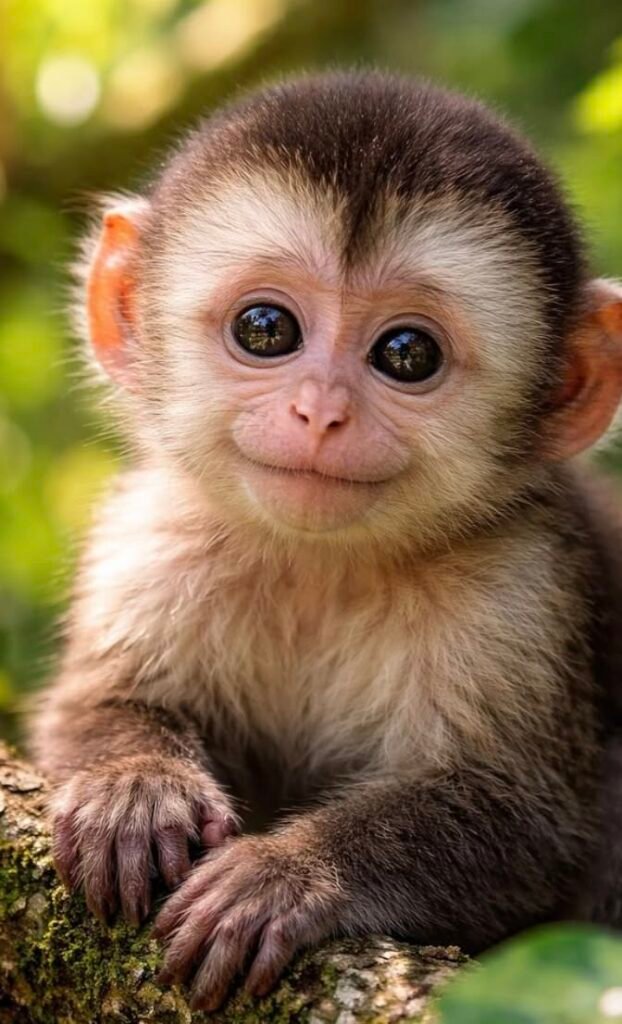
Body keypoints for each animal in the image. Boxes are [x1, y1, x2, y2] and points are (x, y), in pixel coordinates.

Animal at [28, 70, 622, 1012]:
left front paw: (292, 872)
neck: (324, 566)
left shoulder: (526, 582)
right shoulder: (151, 538)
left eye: (407, 353)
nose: (320, 412)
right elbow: (89, 705)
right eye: (266, 329)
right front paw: (135, 789)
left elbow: (529, 816)